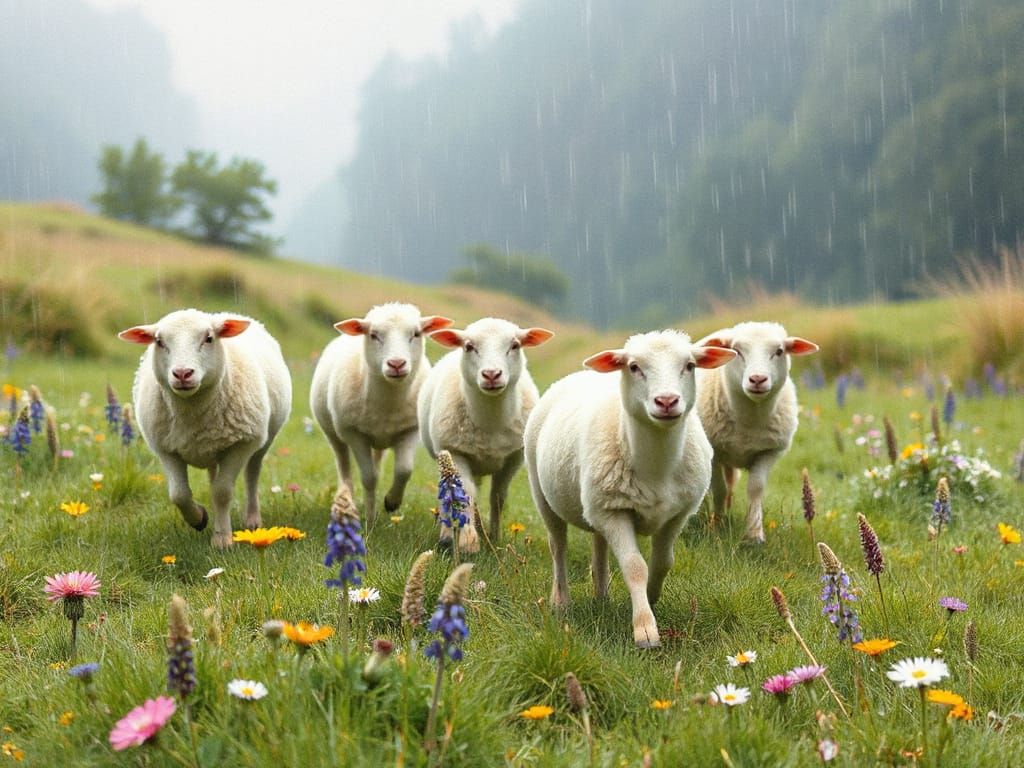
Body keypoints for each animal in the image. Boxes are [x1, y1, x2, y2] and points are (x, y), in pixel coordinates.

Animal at [119, 309, 292, 549]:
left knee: (252, 474)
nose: (183, 373)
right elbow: (179, 494)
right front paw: (199, 518)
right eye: (159, 341)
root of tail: (225, 313)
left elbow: (222, 492)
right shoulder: (165, 448)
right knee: (212, 475)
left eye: (209, 338)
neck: (191, 413)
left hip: (262, 441)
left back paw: (252, 519)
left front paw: (222, 539)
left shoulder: (241, 444)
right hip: (211, 447)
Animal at [309, 303, 452, 524]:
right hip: (333, 432)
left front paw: (391, 502)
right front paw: (370, 519)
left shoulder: (410, 430)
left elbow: (404, 470)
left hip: (378, 439)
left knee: (377, 462)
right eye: (374, 335)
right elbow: (369, 478)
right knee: (344, 466)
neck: (388, 402)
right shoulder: (354, 434)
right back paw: (347, 499)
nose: (396, 364)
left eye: (416, 334)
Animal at [417, 318, 554, 552]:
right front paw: (468, 541)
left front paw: (494, 536)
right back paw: (447, 535)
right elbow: (466, 494)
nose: (491, 374)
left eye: (515, 345)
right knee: (448, 495)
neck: (491, 421)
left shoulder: (513, 458)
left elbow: (498, 497)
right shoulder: (456, 453)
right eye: (469, 346)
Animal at [523, 330, 735, 648]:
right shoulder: (616, 512)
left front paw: (650, 596)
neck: (656, 467)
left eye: (689, 365)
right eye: (634, 367)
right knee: (558, 546)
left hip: (595, 503)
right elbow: (635, 566)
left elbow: (663, 561)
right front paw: (645, 629)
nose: (667, 401)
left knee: (598, 543)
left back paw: (601, 594)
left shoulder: (677, 513)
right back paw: (561, 601)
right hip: (544, 495)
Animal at [695, 322, 819, 543]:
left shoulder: (769, 452)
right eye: (736, 351)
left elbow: (755, 488)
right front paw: (716, 527)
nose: (758, 379)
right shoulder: (714, 452)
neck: (748, 422)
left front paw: (754, 534)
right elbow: (718, 489)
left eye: (779, 351)